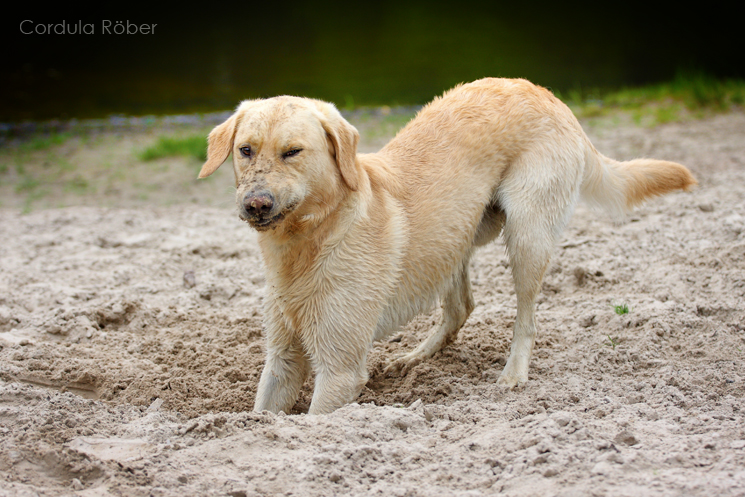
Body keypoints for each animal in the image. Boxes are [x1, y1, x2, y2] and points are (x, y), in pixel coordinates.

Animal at [198, 77, 696, 412]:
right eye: (245, 150)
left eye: (293, 152)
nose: (256, 204)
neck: (309, 240)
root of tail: (545, 92)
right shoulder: (282, 361)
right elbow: (263, 414)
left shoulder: (339, 370)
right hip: (455, 238)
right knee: (460, 307)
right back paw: (417, 356)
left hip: (527, 236)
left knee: (526, 318)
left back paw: (513, 374)